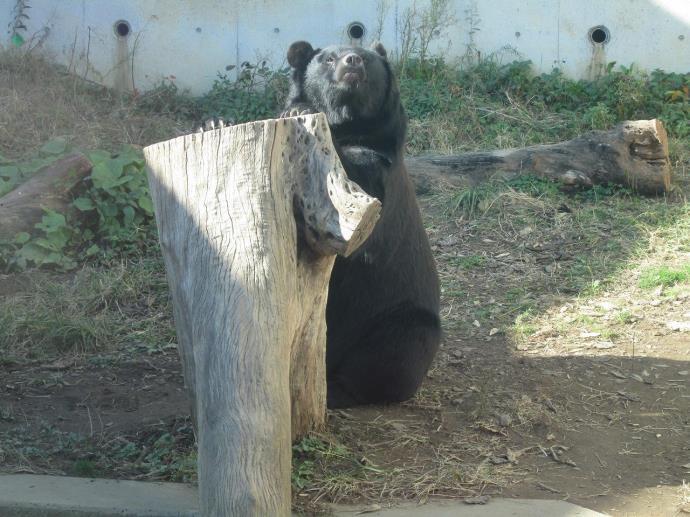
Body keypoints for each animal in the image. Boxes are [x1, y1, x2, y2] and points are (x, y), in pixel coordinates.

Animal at [280, 40, 438, 408]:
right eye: (328, 59)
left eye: (365, 58)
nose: (352, 62)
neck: (348, 125)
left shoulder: (379, 169)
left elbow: (355, 184)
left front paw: (298, 113)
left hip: (396, 320)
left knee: (390, 360)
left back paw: (336, 391)